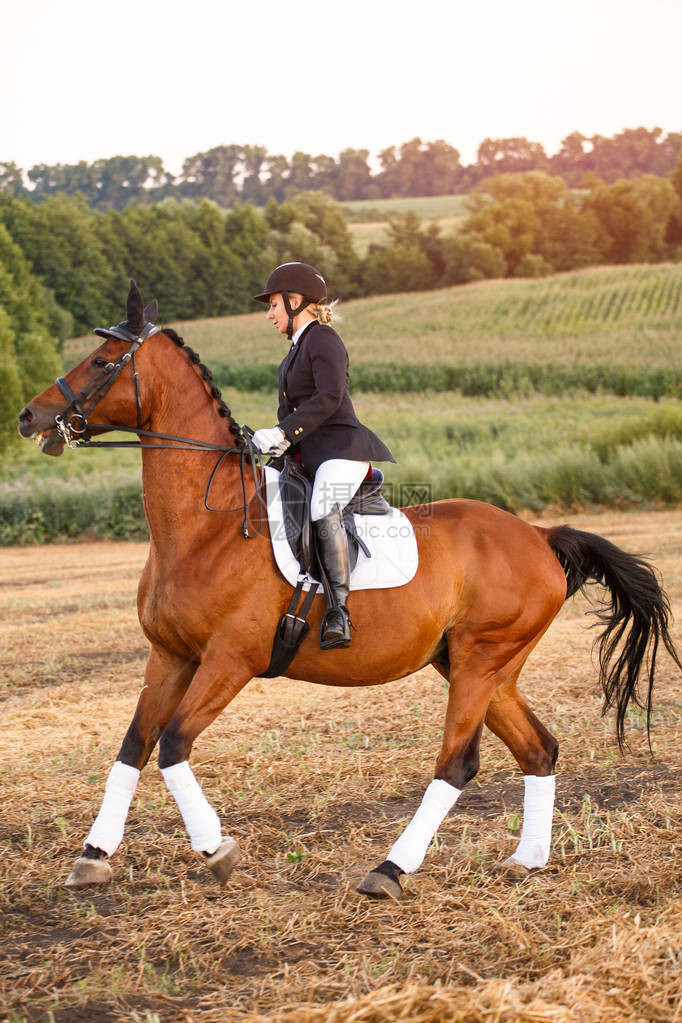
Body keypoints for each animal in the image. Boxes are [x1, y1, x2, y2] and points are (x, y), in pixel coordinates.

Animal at [17, 288, 682, 896]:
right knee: (538, 749)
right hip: (480, 666)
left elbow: (173, 746)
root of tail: (538, 536)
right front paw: (93, 855)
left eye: (103, 361)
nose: (28, 417)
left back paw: (389, 870)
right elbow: (133, 748)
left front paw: (216, 850)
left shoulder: (231, 660)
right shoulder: (170, 655)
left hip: (480, 660)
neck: (207, 526)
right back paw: (527, 861)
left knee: (457, 763)